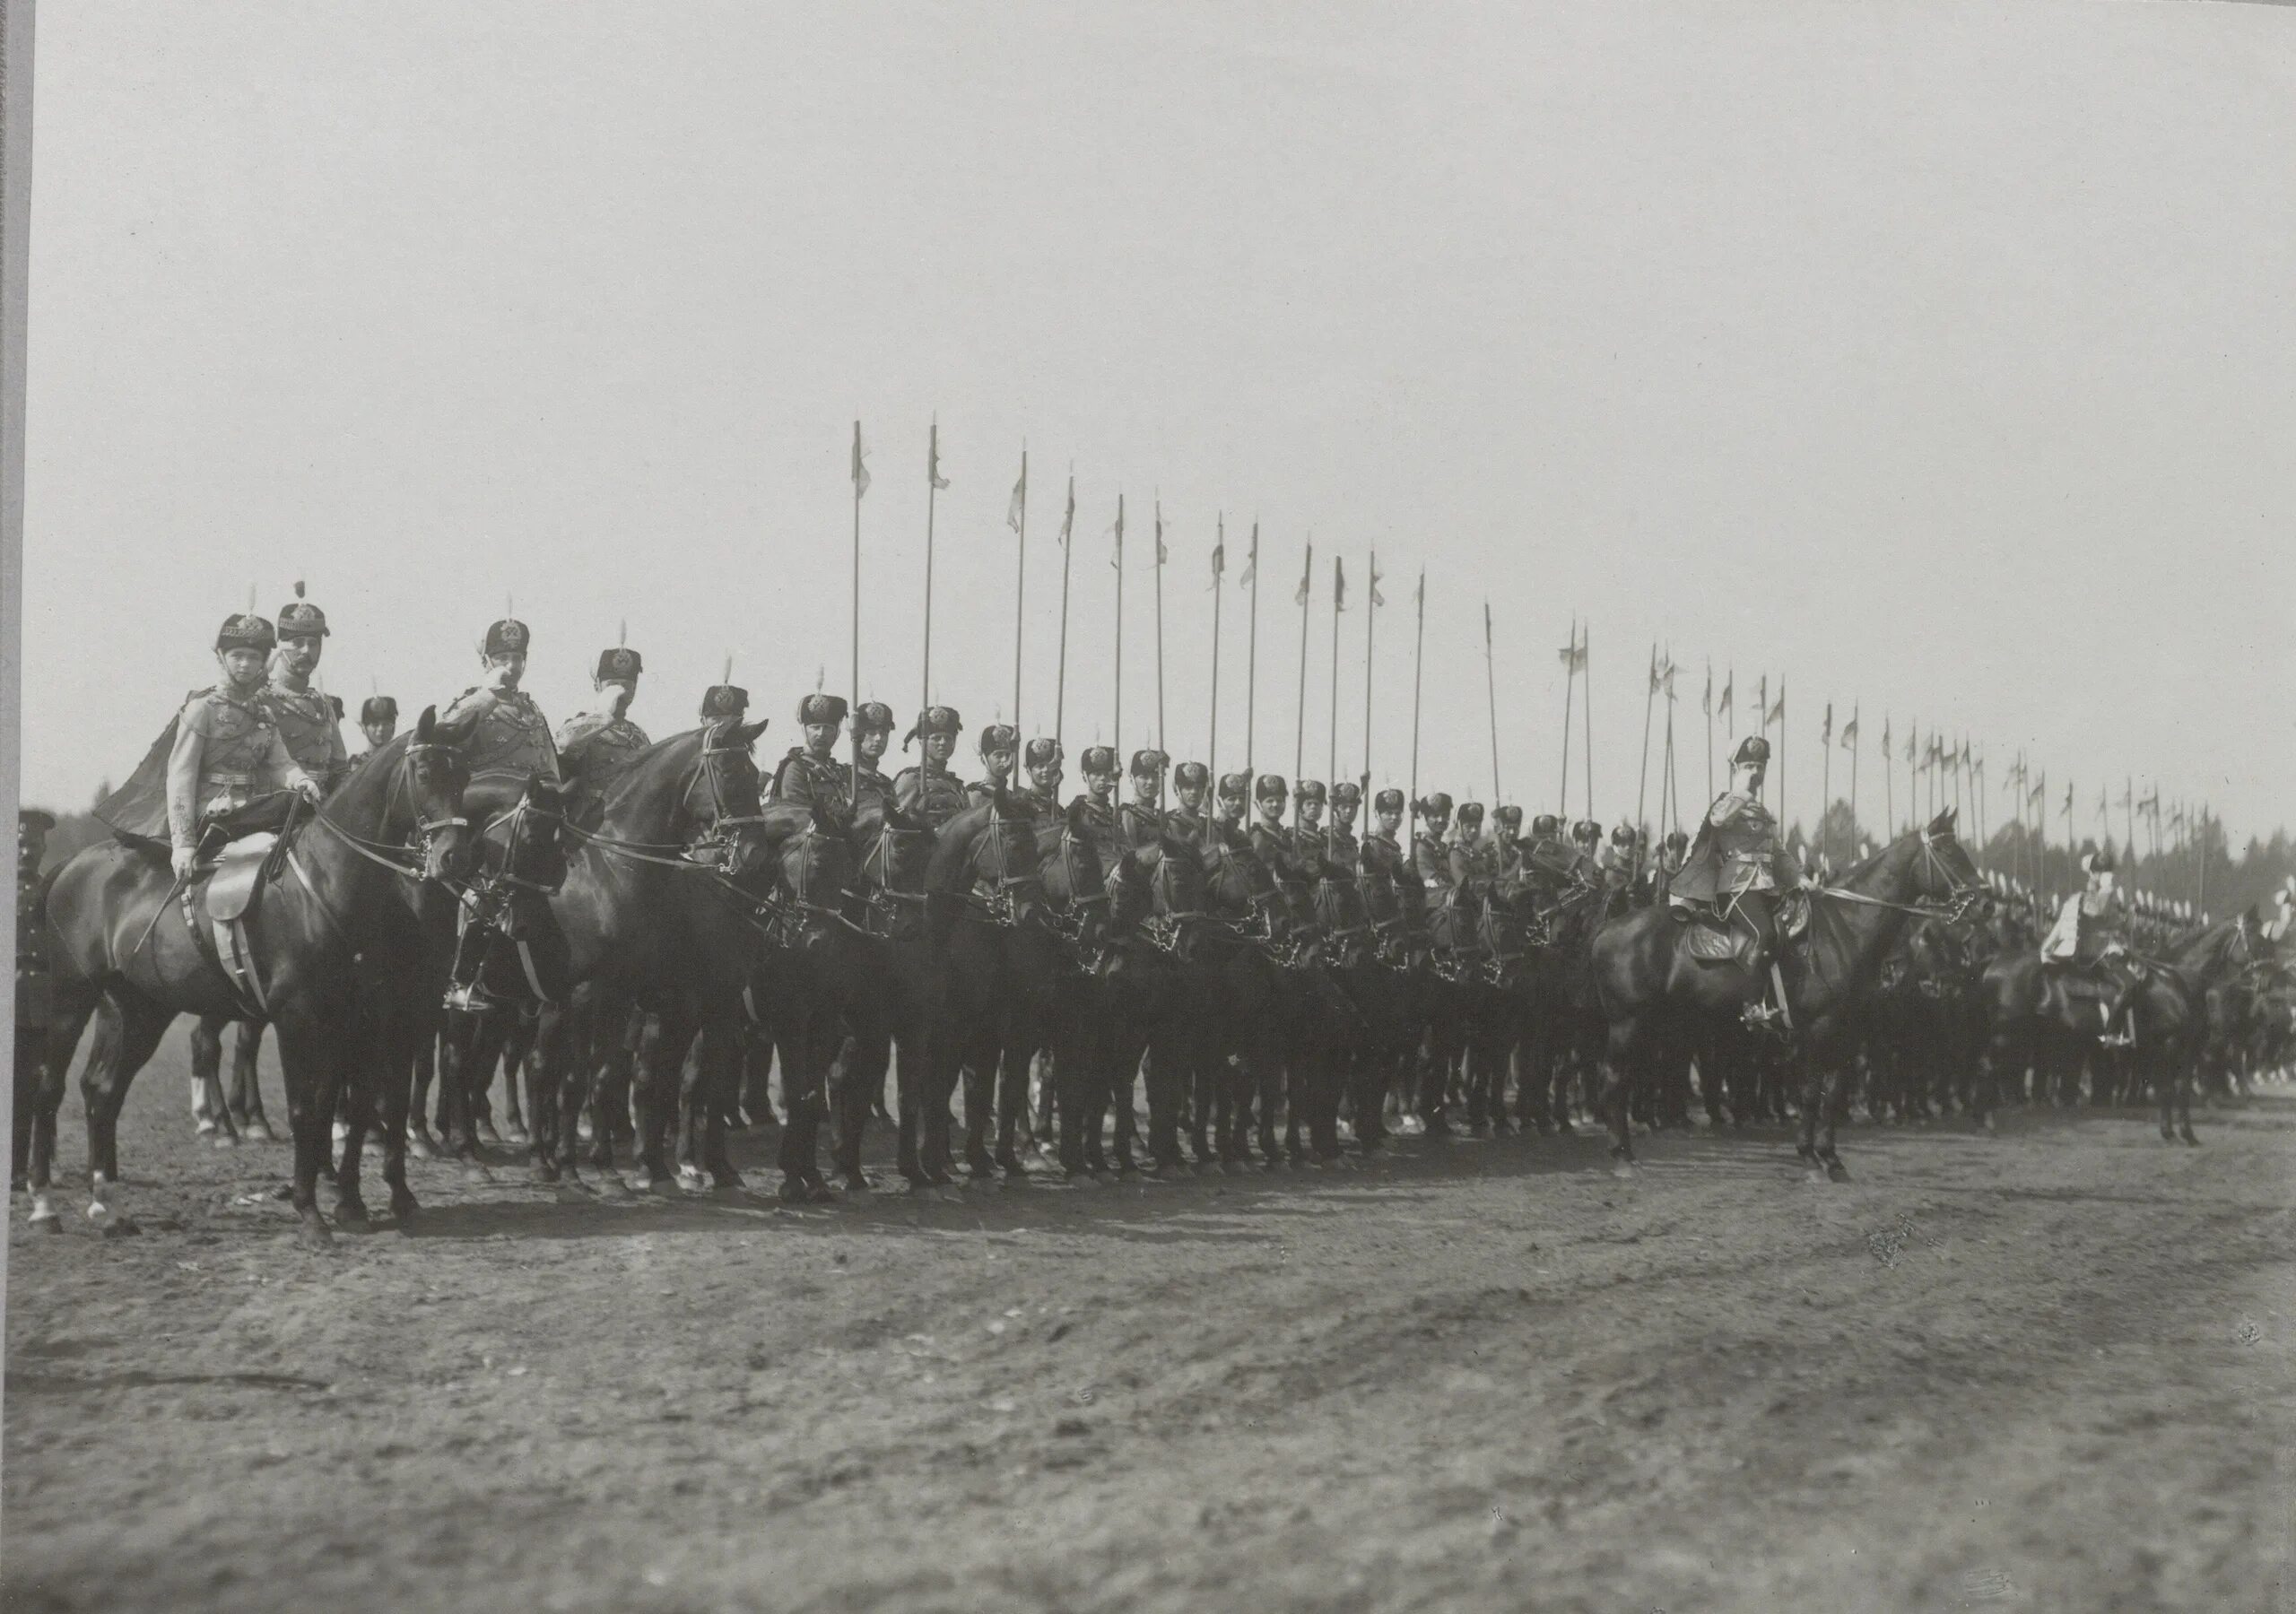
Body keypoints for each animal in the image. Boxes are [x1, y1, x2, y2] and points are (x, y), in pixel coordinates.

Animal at [32, 711, 480, 1239]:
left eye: (465, 776)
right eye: (426, 772)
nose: (453, 858)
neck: (325, 884)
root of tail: (72, 864)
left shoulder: (355, 1018)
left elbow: (345, 1103)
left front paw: (349, 1202)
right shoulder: (299, 1018)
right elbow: (308, 1107)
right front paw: (311, 1210)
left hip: (139, 1010)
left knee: (103, 1091)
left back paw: (109, 1204)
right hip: (70, 1001)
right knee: (50, 1086)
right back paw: (44, 1203)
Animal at [1588, 812, 1983, 1184]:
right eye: (1948, 850)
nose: (1984, 902)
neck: (1843, 927)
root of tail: (1607, 928)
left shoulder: (1846, 1032)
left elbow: (1833, 1093)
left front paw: (1833, 1160)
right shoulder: (1817, 1030)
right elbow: (1809, 1093)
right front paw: (1810, 1159)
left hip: (1653, 1025)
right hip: (1628, 1023)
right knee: (1612, 1081)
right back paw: (1624, 1158)